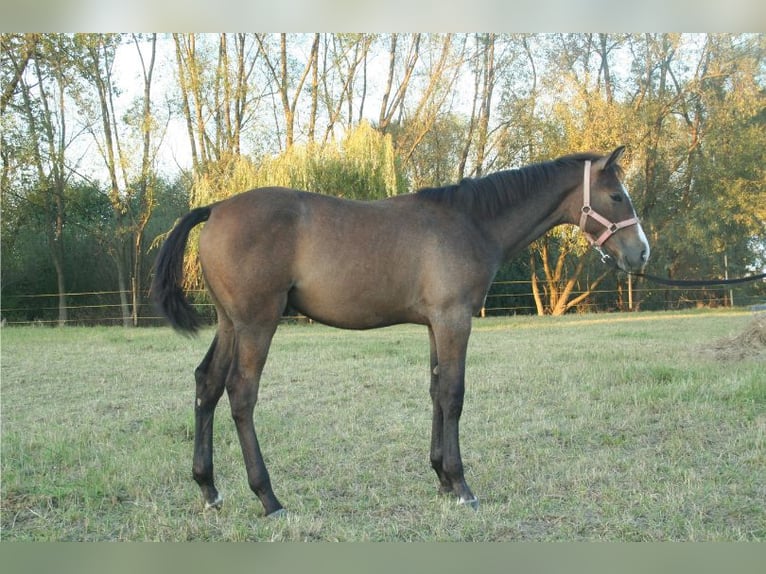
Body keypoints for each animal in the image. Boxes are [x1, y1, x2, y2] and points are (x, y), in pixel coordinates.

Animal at [153, 147, 652, 516]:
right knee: (241, 393)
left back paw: (209, 489)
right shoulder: (455, 320)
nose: (641, 253)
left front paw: (441, 478)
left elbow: (436, 392)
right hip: (258, 323)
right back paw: (268, 497)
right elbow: (454, 394)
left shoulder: (436, 324)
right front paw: (462, 485)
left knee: (207, 384)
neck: (468, 221)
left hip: (230, 323)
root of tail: (216, 207)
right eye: (616, 196)